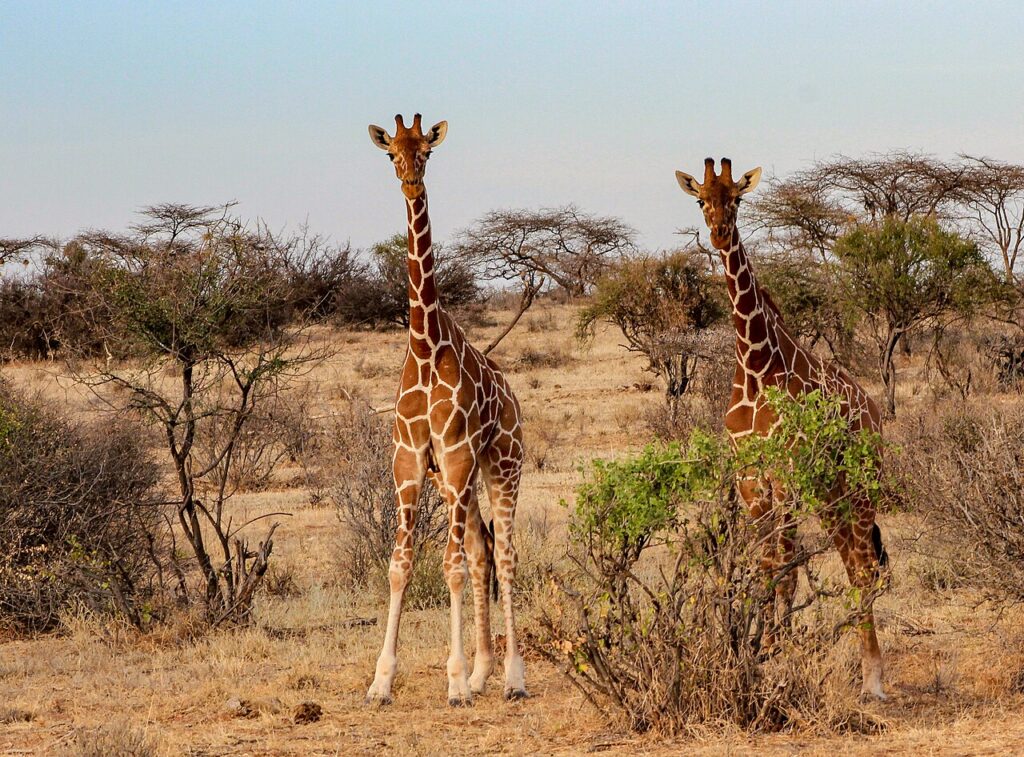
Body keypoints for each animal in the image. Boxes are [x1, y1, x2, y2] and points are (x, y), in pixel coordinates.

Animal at [364, 114, 527, 706]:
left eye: (427, 152)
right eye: (391, 153)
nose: (412, 184)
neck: (425, 345)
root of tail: (514, 400)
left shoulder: (455, 457)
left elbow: (451, 566)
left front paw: (454, 682)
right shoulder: (411, 463)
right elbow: (400, 566)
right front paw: (381, 681)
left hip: (502, 466)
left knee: (503, 555)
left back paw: (511, 678)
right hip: (463, 477)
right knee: (483, 553)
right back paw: (484, 673)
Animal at [675, 158, 889, 699]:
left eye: (737, 198)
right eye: (701, 199)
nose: (718, 231)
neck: (756, 364)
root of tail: (873, 409)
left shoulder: (786, 474)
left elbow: (788, 572)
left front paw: (782, 654)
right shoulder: (750, 480)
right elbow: (767, 568)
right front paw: (765, 651)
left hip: (859, 486)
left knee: (864, 569)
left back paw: (873, 680)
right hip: (832, 494)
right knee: (853, 562)